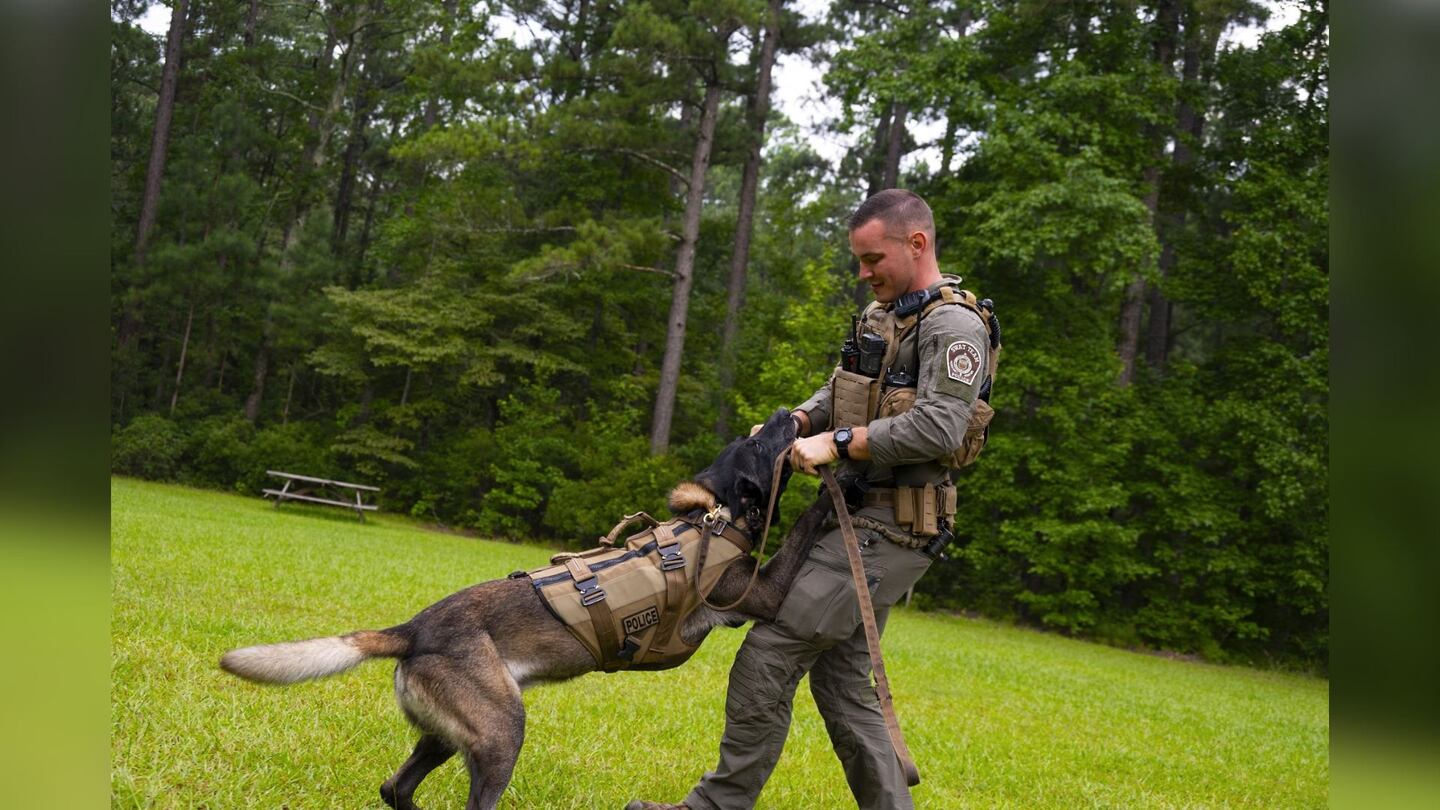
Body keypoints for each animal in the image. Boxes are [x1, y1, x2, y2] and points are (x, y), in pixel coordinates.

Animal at [220, 408, 829, 810]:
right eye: (764, 444)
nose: (786, 412)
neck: (713, 515)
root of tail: (413, 630)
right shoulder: (761, 593)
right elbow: (803, 528)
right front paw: (836, 483)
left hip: (450, 733)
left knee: (395, 789)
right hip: (501, 733)